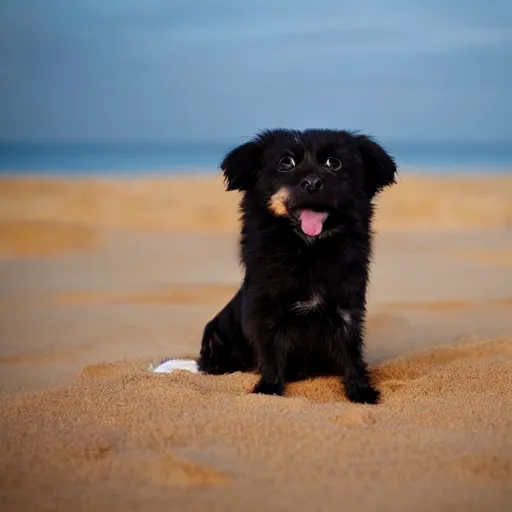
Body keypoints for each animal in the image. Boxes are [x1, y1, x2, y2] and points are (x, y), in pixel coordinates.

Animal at [196, 129, 396, 404]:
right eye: (286, 162)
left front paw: (361, 390)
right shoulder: (266, 311)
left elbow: (351, 354)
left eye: (334, 163)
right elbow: (270, 354)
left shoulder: (348, 309)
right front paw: (268, 389)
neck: (308, 248)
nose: (312, 183)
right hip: (215, 335)